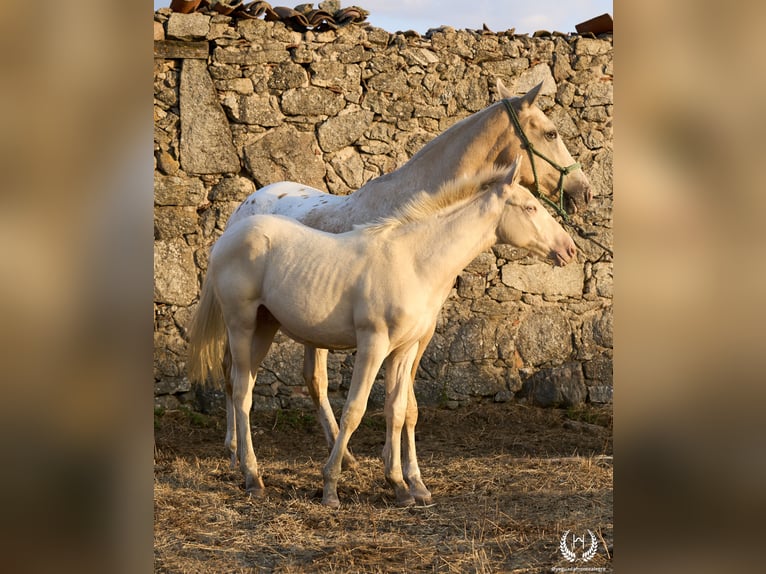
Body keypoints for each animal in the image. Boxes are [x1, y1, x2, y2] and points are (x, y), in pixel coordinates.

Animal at [189, 159, 580, 508]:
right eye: (529, 207)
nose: (569, 249)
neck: (413, 261)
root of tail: (227, 236)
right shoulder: (373, 344)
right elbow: (355, 409)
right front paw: (330, 487)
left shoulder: (403, 349)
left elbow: (398, 409)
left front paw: (403, 488)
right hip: (241, 325)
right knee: (242, 393)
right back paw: (252, 478)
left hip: (265, 327)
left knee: (243, 386)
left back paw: (244, 467)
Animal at [216, 79, 592, 470]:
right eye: (551, 132)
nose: (585, 192)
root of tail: (244, 209)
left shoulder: (419, 332)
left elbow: (405, 405)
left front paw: (400, 467)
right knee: (241, 373)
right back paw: (237, 450)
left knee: (299, 379)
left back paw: (338, 454)